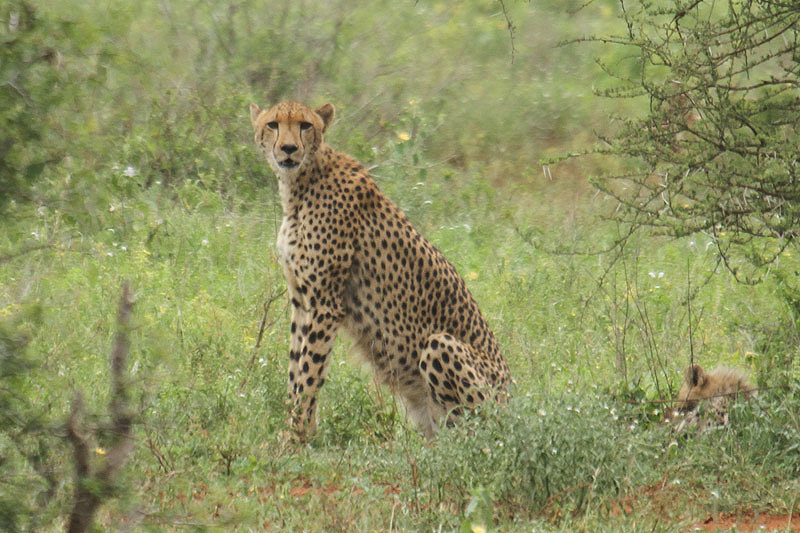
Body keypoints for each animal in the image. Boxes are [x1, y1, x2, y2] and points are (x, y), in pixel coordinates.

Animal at [249, 101, 512, 441]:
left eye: (305, 125)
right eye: (273, 124)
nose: (289, 149)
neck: (302, 182)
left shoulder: (325, 304)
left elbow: (309, 373)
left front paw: (298, 437)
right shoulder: (302, 302)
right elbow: (296, 369)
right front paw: (292, 431)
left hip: (443, 346)